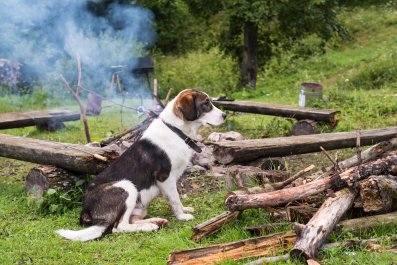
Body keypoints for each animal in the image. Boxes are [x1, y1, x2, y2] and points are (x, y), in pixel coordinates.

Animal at [55, 88, 226, 239]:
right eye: (206, 103)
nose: (225, 115)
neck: (175, 130)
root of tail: (85, 210)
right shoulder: (165, 178)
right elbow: (175, 200)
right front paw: (182, 216)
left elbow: (176, 198)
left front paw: (184, 210)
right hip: (127, 186)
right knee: (119, 227)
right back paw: (150, 226)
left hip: (138, 206)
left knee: (130, 221)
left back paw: (156, 221)